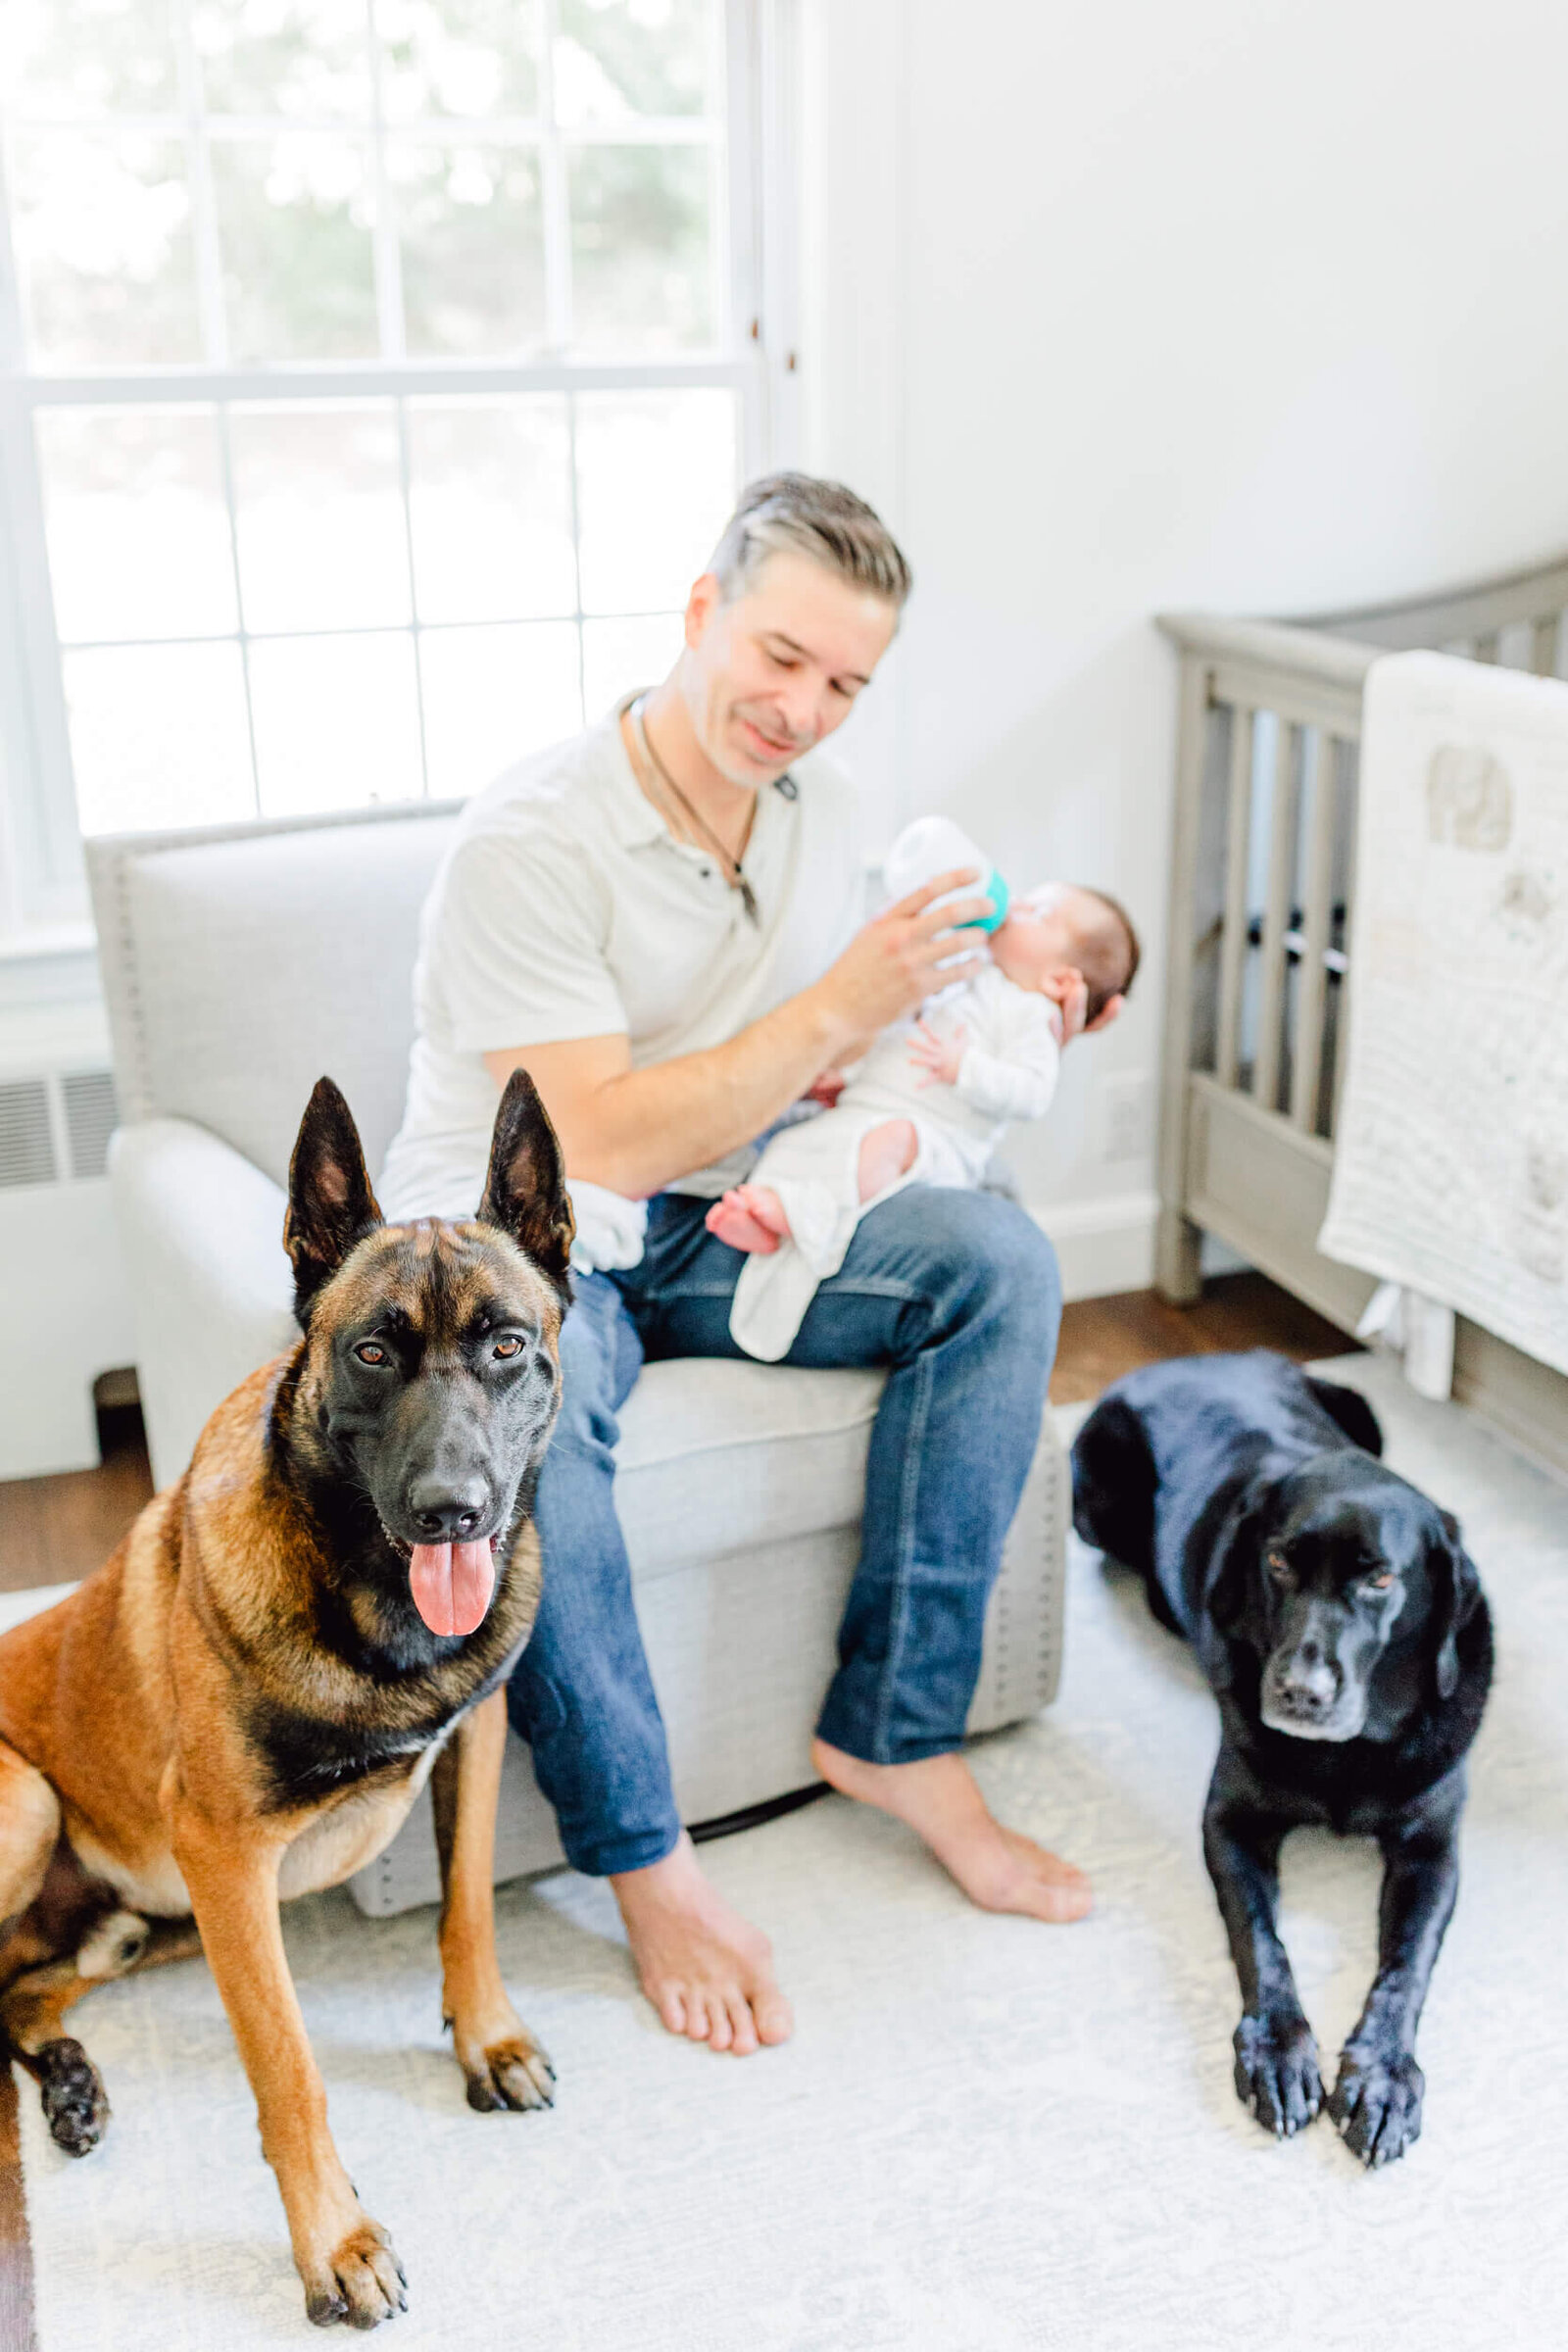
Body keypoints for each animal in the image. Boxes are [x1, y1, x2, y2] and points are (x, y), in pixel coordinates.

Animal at [0, 1077, 575, 2324]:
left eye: (508, 1345)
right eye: (371, 1352)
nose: (452, 1512)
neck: (364, 1593)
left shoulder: (478, 1738)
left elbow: (469, 1906)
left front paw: (487, 2038)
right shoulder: (227, 1865)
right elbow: (288, 2066)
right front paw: (335, 2243)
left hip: (134, 1929)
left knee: (14, 1993)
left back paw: (69, 2084)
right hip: (29, 1806)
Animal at [1067, 1354, 1494, 2154]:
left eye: (1380, 1578)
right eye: (1277, 1563)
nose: (1299, 1692)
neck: (1350, 1755)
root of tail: (1190, 1359)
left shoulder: (1433, 1850)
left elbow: (1406, 1964)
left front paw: (1384, 2076)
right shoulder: (1230, 1825)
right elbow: (1260, 1941)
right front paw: (1277, 2054)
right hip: (1093, 1502)